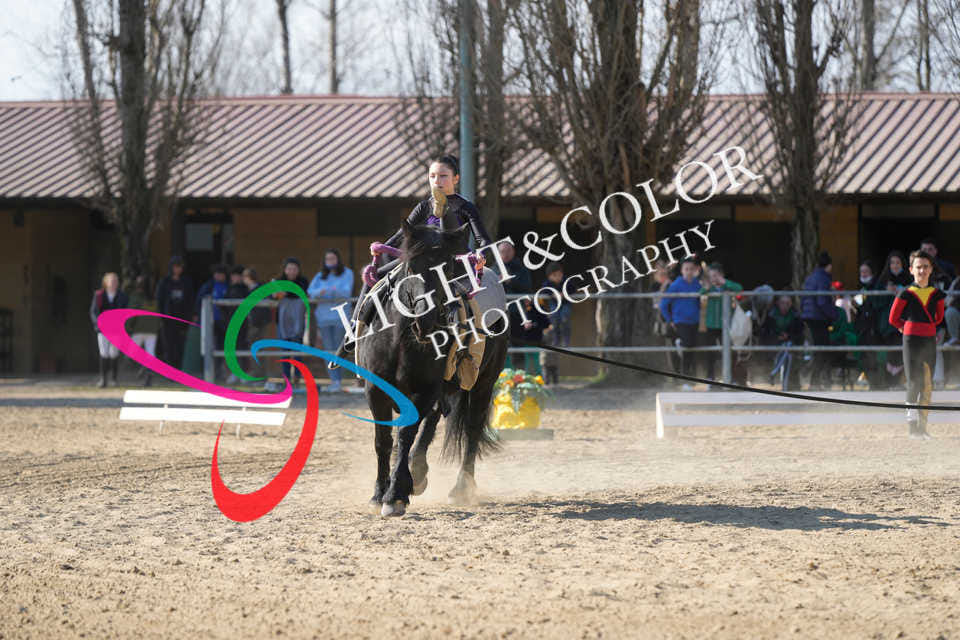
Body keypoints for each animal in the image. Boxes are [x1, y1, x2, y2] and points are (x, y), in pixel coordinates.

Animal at [356, 219, 509, 517]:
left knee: (471, 429)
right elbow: (383, 440)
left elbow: (406, 434)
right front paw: (380, 492)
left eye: (447, 267)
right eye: (411, 266)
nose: (425, 319)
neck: (401, 342)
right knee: (433, 422)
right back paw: (417, 473)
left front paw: (395, 495)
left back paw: (460, 488)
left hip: (483, 383)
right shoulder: (376, 390)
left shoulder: (424, 390)